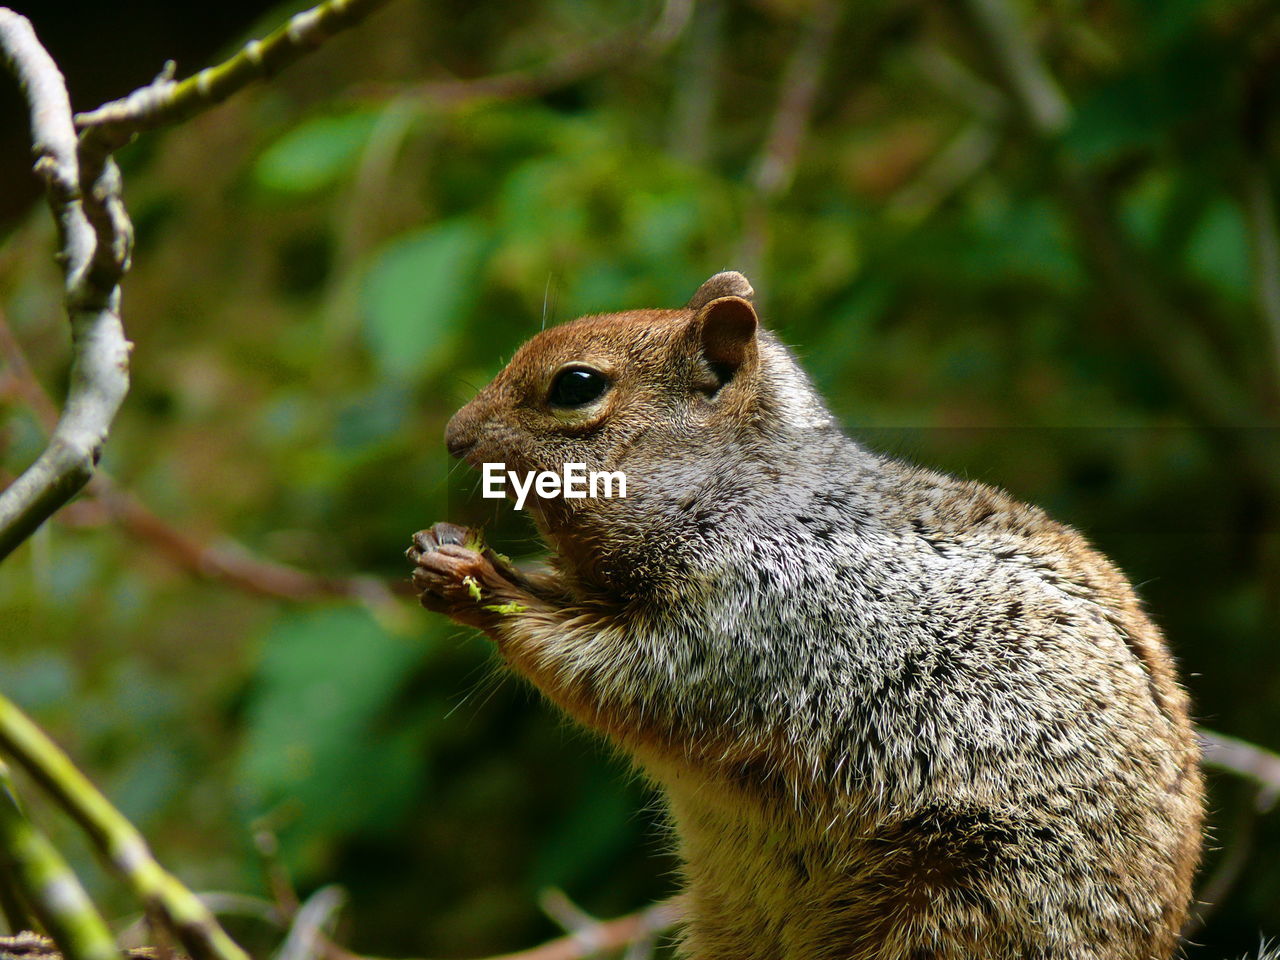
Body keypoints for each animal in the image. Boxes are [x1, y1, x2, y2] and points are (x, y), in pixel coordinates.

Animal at [412, 272, 1208, 960]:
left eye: (576, 386)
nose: (453, 435)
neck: (752, 495)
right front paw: (443, 548)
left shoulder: (749, 626)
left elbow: (617, 676)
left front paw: (478, 581)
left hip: (964, 908)